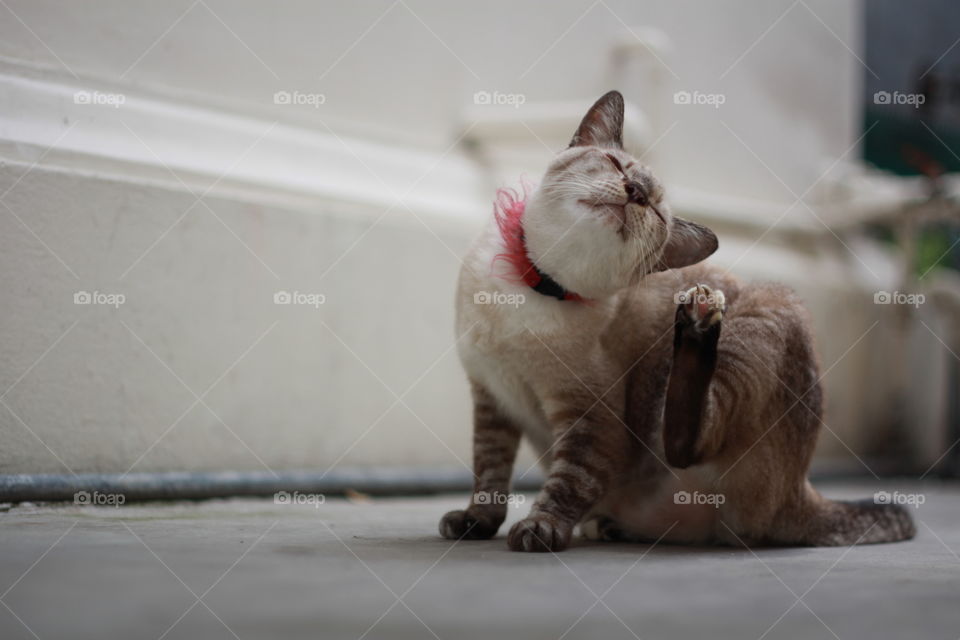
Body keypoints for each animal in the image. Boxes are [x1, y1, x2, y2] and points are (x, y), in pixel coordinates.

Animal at [438, 90, 920, 552]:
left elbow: (568, 483)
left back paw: (696, 323)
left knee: (686, 441)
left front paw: (540, 529)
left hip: (766, 312)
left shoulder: (587, 416)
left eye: (652, 208)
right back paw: (611, 527)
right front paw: (474, 523)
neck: (536, 284)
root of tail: (802, 490)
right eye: (617, 166)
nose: (634, 191)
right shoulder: (492, 399)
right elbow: (489, 473)